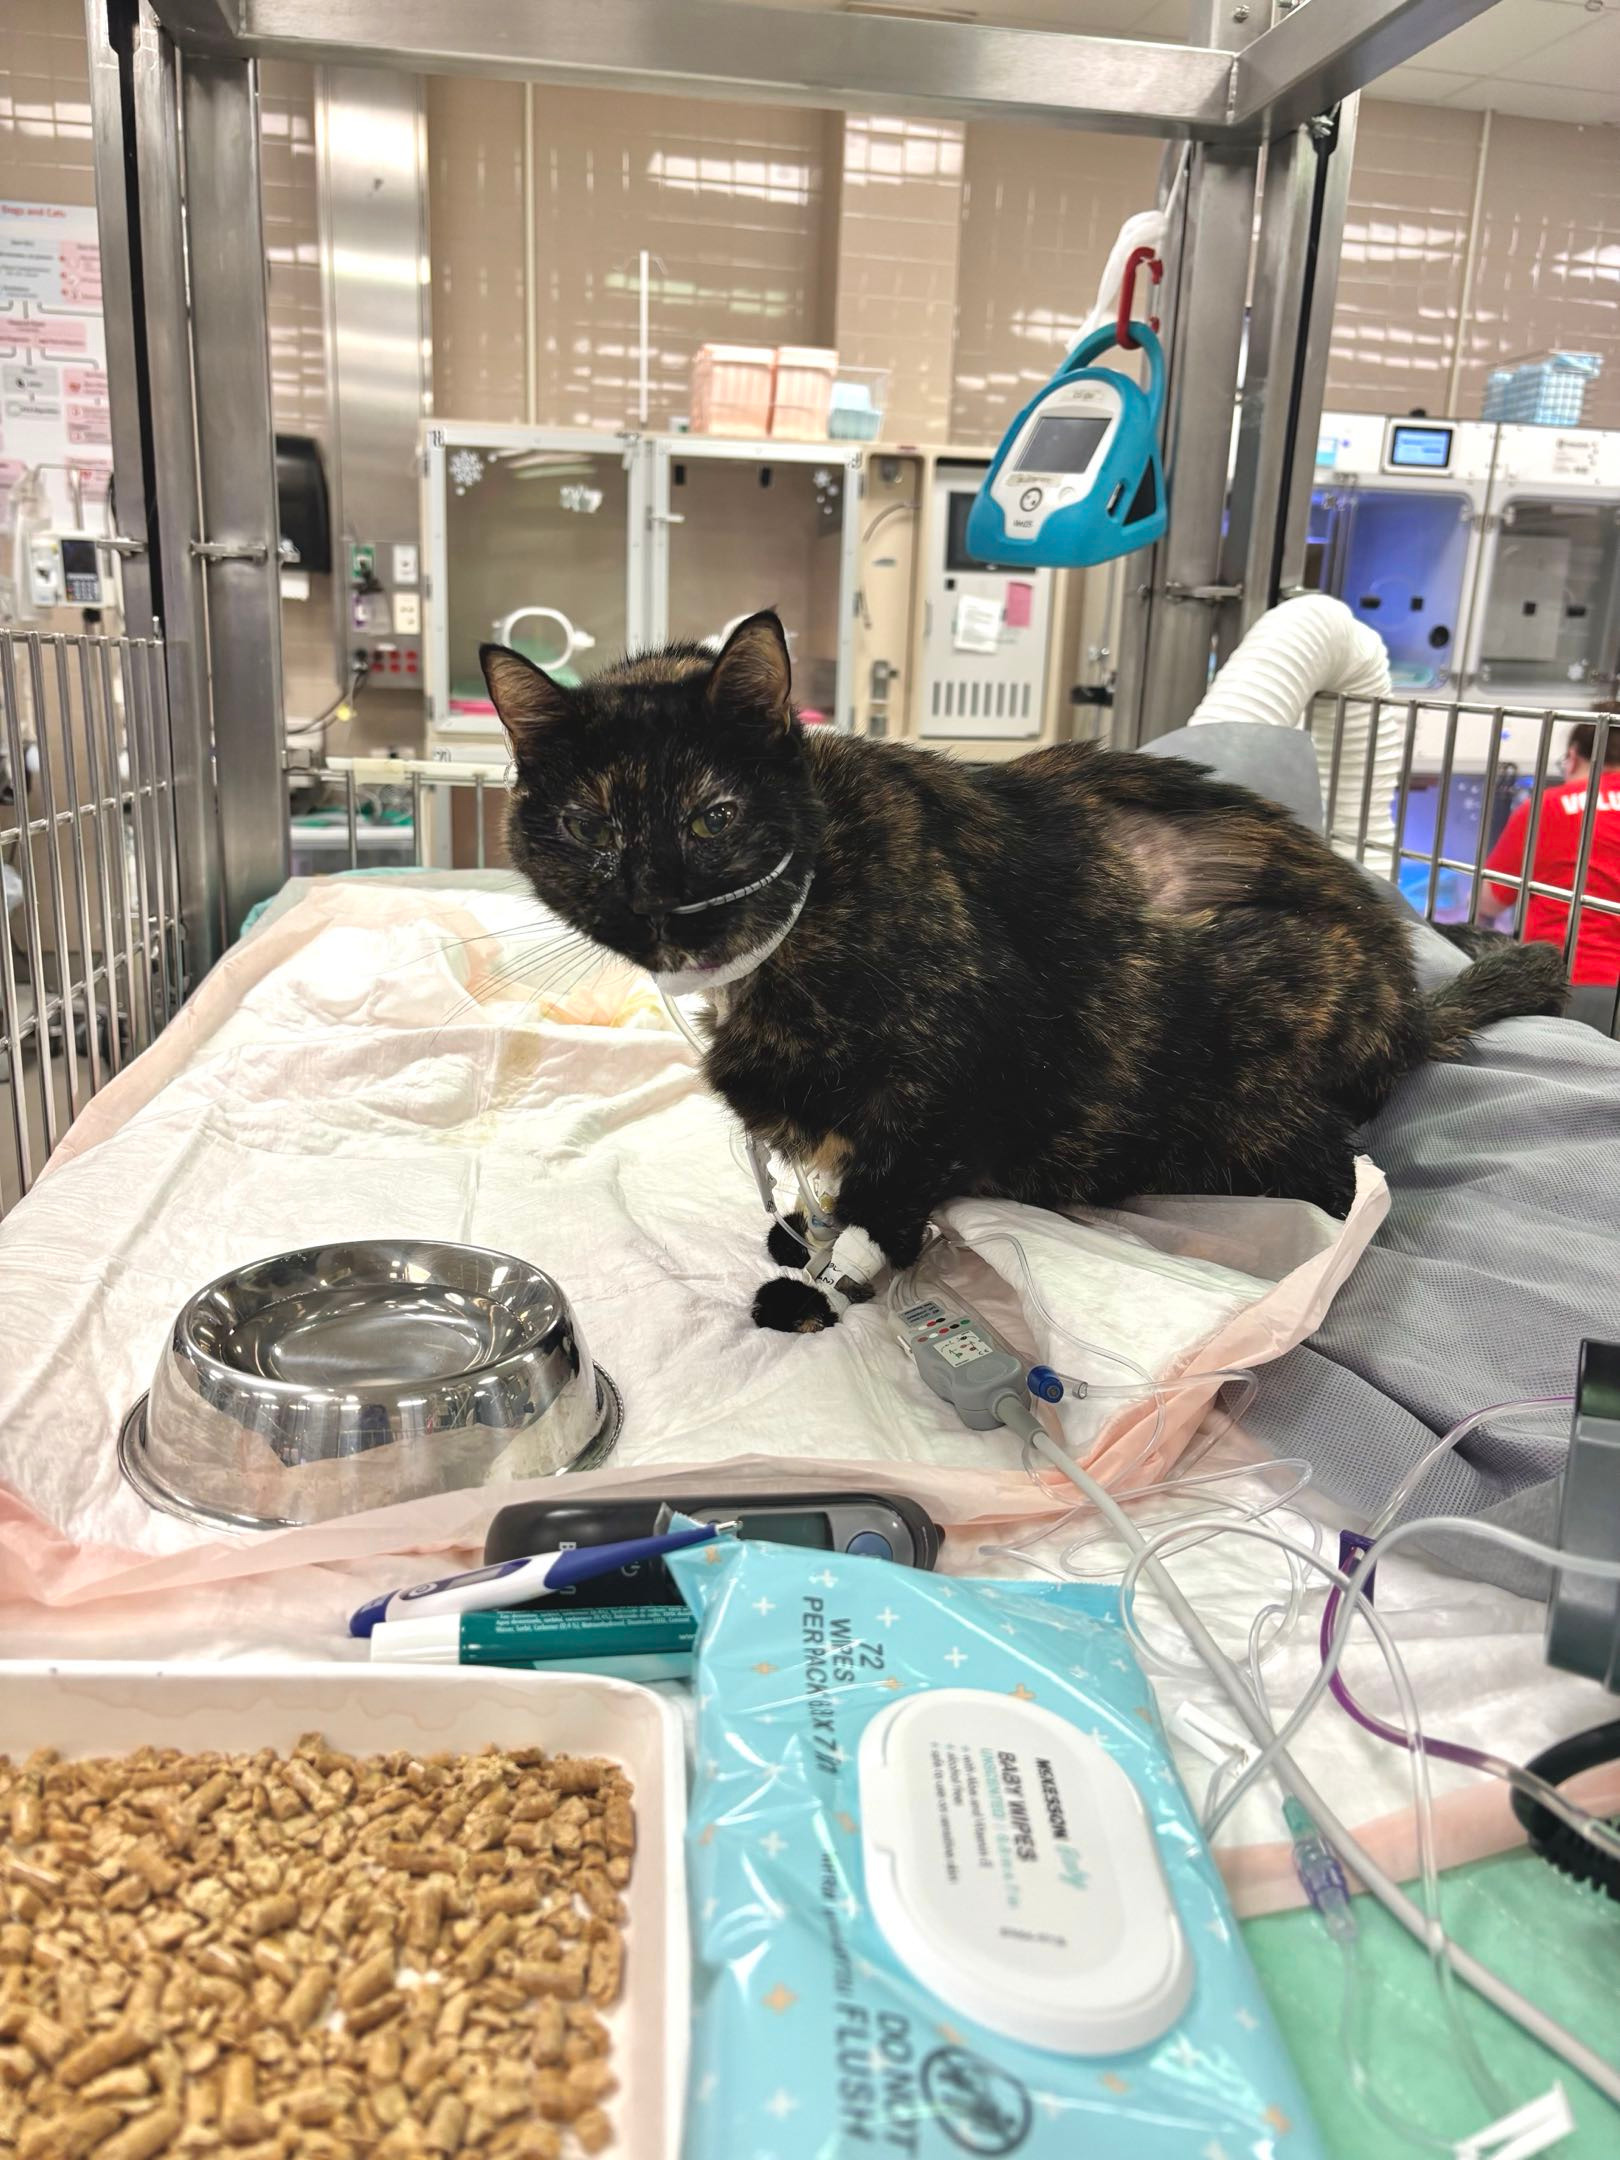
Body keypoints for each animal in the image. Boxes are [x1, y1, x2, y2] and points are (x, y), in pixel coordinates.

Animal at [481, 611, 1566, 1331]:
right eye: (587, 828)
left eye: (714, 816)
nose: (652, 897)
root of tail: (1406, 1001)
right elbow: (831, 1185)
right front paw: (805, 1231)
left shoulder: (959, 1071)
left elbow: (885, 1192)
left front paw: (832, 1284)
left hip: (1256, 1048)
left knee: (1343, 1187)